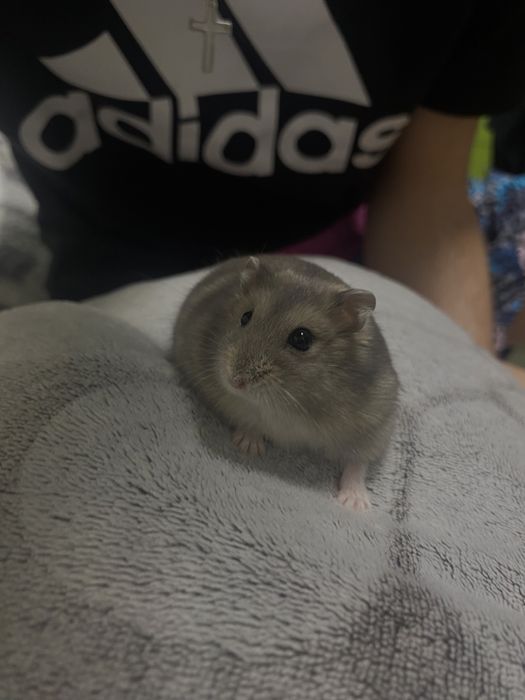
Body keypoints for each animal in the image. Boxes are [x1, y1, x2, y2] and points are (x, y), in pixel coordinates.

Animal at [169, 255, 399, 511]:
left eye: (302, 338)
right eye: (245, 317)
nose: (235, 381)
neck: (290, 403)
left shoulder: (374, 424)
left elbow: (357, 463)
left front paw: (355, 504)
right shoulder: (228, 401)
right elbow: (248, 419)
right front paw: (248, 448)